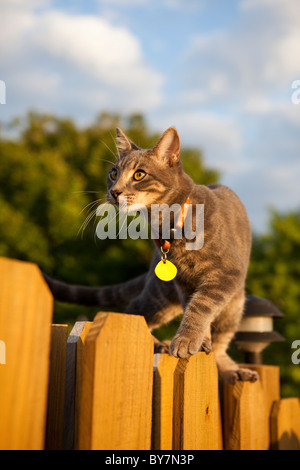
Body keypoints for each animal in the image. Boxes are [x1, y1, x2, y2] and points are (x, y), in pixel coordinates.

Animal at [42, 126, 260, 384]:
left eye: (139, 175)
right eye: (113, 173)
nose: (114, 191)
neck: (169, 226)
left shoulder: (227, 274)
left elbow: (202, 306)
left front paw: (188, 340)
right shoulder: (184, 283)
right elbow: (195, 306)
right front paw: (196, 340)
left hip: (234, 305)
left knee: (221, 342)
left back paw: (231, 369)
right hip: (160, 297)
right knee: (133, 312)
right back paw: (160, 344)